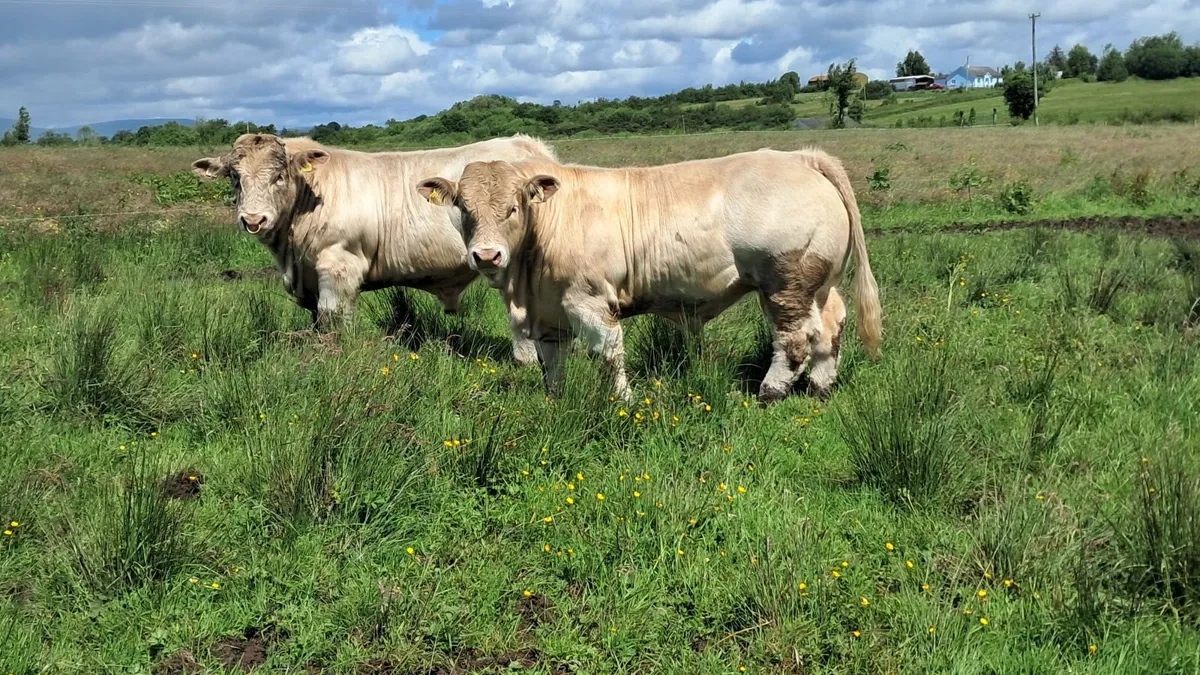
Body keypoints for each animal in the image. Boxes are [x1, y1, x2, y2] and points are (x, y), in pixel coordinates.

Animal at [191, 133, 558, 366]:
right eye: (234, 177)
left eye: (279, 175)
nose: (253, 219)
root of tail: (530, 145)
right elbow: (318, 319)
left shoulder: (339, 264)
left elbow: (333, 316)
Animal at [414, 147, 882, 403]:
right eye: (464, 209)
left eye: (513, 207)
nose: (486, 255)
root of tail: (800, 157)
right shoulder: (547, 309)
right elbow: (553, 362)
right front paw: (556, 399)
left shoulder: (589, 300)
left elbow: (608, 353)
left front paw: (623, 401)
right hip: (817, 285)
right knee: (830, 327)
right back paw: (820, 387)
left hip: (785, 282)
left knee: (795, 338)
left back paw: (769, 392)